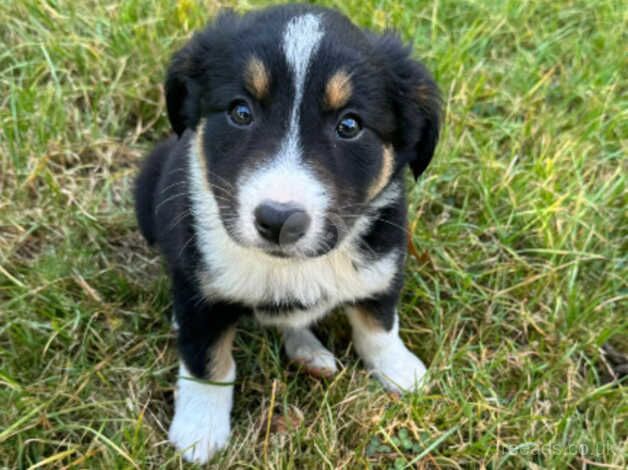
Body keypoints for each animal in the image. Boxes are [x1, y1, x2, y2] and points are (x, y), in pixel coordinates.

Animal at [135, 2, 440, 462]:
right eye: (241, 113)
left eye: (350, 125)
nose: (279, 221)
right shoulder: (200, 287)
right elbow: (207, 359)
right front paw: (200, 429)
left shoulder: (384, 258)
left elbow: (377, 323)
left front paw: (400, 370)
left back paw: (309, 352)